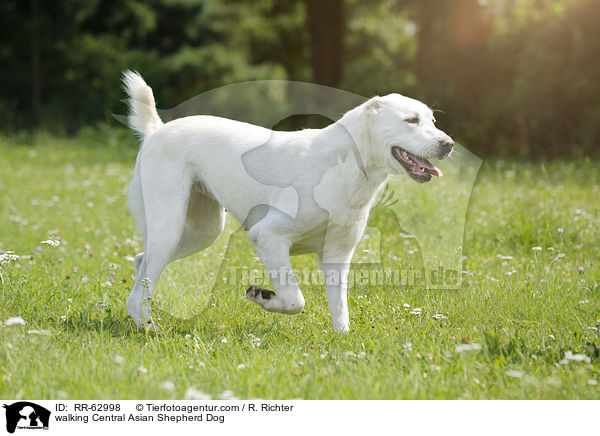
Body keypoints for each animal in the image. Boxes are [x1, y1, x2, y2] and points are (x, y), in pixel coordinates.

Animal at [120, 71, 450, 332]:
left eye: (433, 120)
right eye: (411, 120)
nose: (448, 144)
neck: (346, 166)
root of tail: (156, 130)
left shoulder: (337, 256)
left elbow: (340, 312)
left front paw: (343, 342)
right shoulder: (268, 236)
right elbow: (295, 300)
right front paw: (264, 297)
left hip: (202, 233)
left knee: (140, 263)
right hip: (170, 227)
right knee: (141, 288)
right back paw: (149, 329)